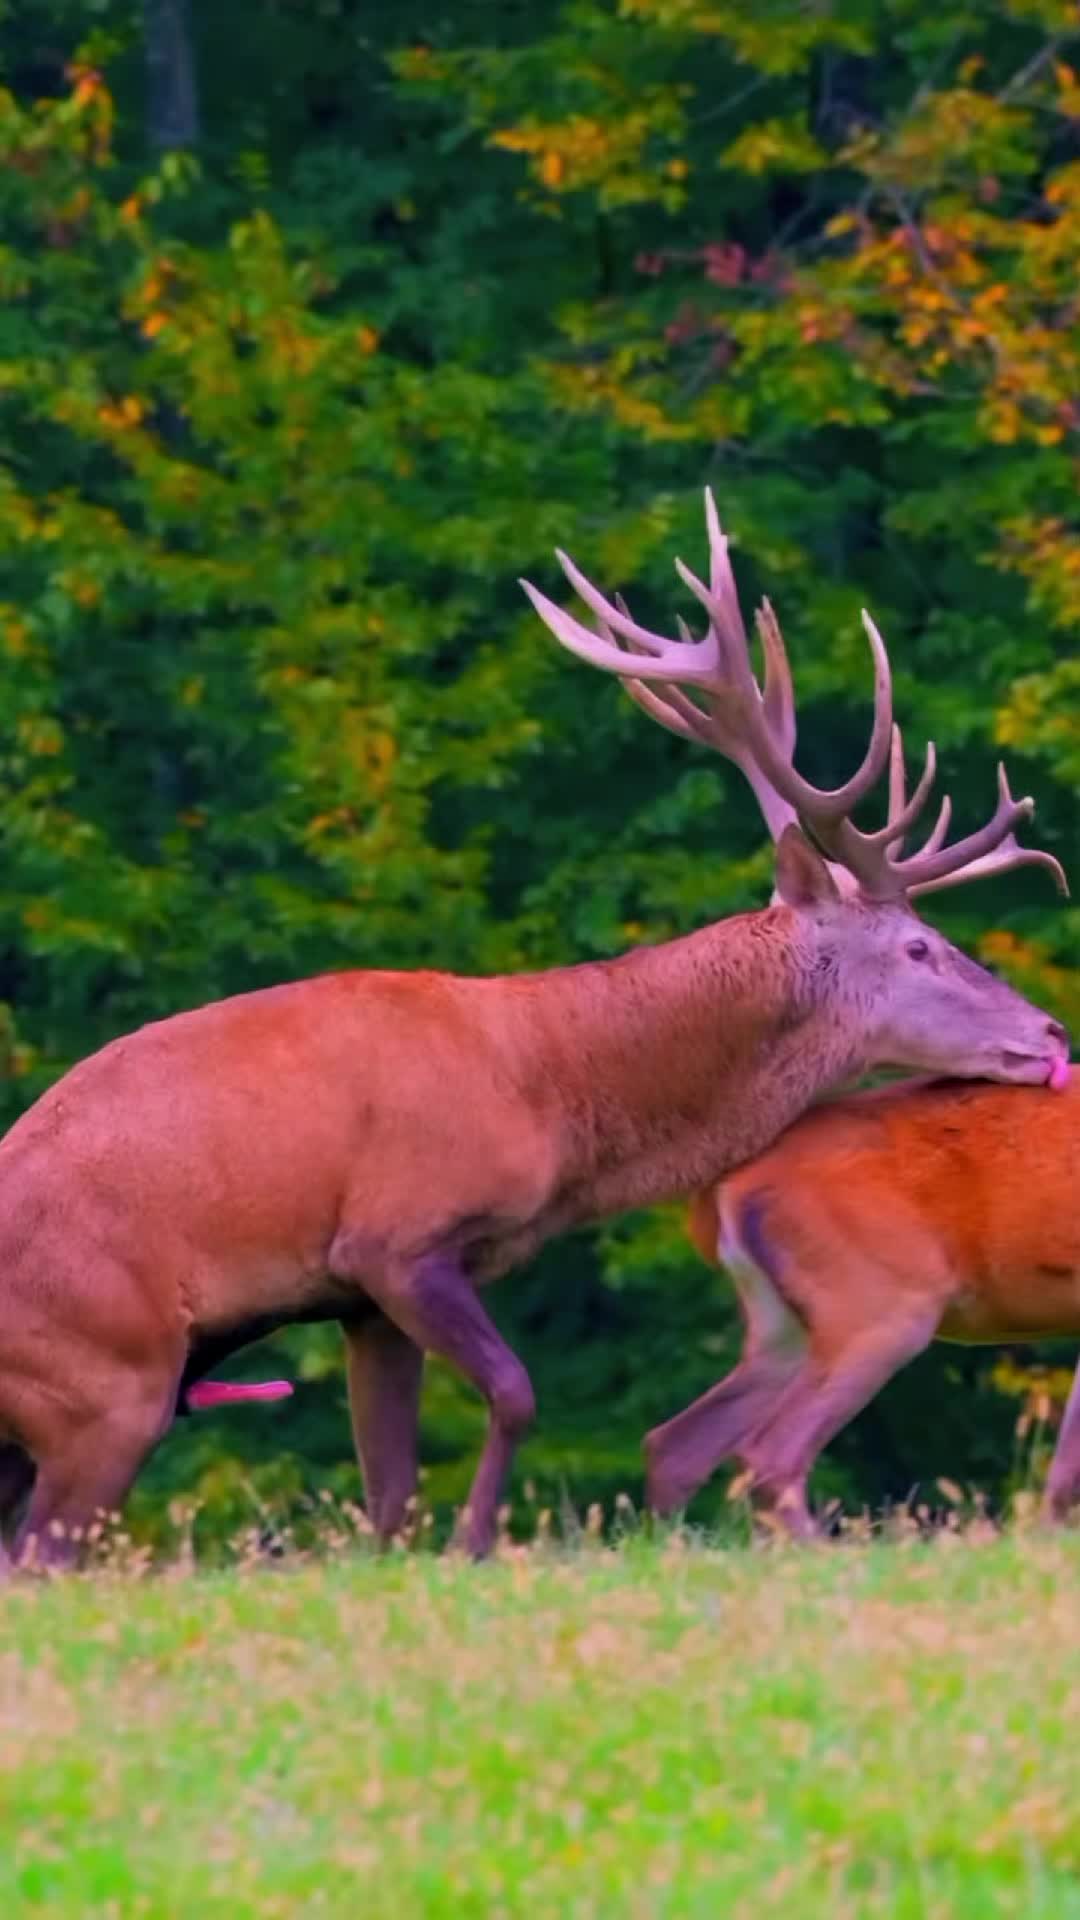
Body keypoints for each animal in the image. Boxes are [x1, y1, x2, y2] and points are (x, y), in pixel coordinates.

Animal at [0, 493, 1068, 1570]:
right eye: (921, 947)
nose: (1050, 1032)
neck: (551, 1087)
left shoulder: (358, 1297)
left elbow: (390, 1490)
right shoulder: (398, 1235)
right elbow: (515, 1395)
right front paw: (477, 1543)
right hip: (108, 1377)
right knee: (47, 1551)